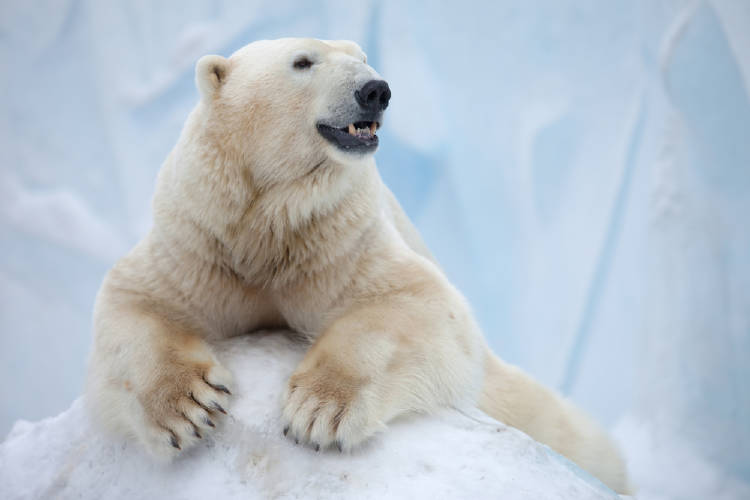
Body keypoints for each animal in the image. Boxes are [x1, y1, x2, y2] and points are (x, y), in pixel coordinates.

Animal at [85, 38, 630, 493]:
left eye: (363, 56)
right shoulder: (201, 240)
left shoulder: (339, 238)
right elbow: (136, 300)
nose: (375, 90)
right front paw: (188, 409)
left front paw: (319, 410)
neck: (270, 221)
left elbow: (411, 301)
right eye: (303, 61)